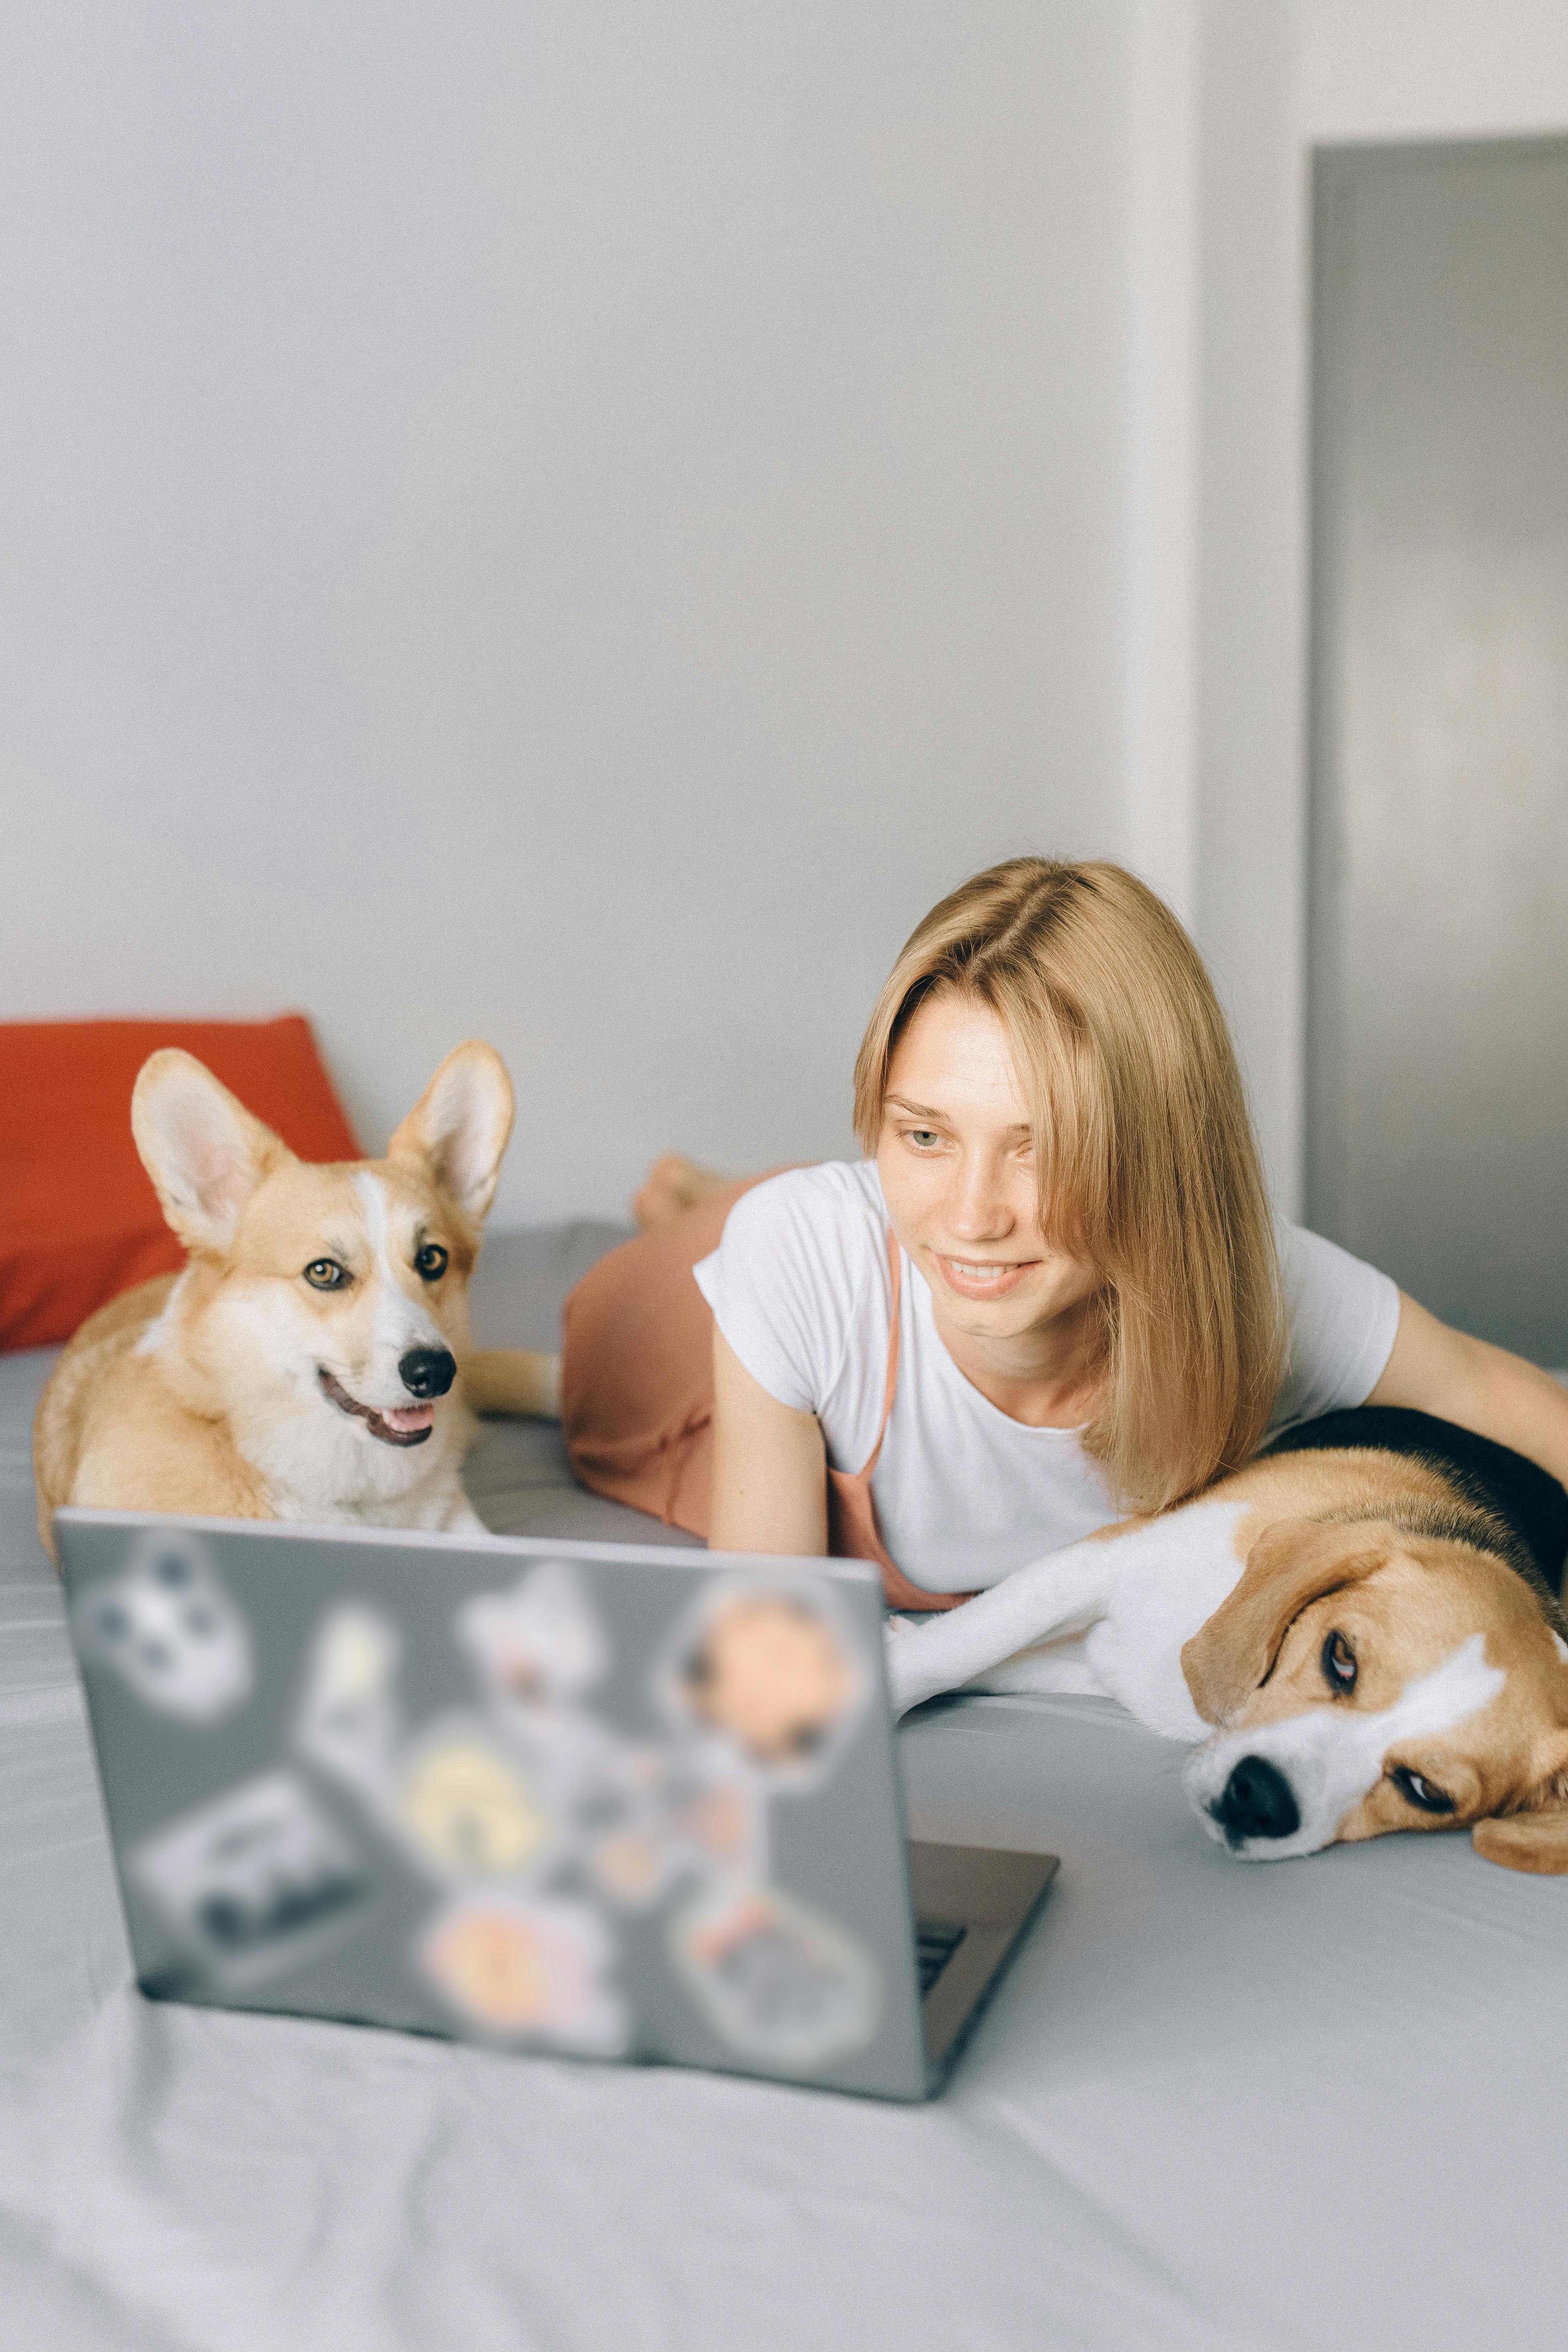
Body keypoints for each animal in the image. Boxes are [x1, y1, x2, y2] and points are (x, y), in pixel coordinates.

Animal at [888, 1411, 1568, 1872]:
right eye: (1341, 1657)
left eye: (1426, 1791)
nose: (1259, 1800)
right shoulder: (1098, 1563)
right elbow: (960, 1650)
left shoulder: (1086, 1663)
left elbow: (983, 1658)